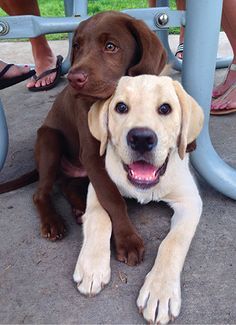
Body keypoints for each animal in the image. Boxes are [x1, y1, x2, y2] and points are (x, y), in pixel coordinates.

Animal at [32, 11, 166, 264]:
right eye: (77, 46)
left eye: (110, 46)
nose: (73, 78)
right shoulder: (93, 156)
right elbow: (112, 197)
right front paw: (127, 240)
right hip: (49, 140)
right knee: (41, 192)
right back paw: (53, 222)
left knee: (67, 185)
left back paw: (79, 209)